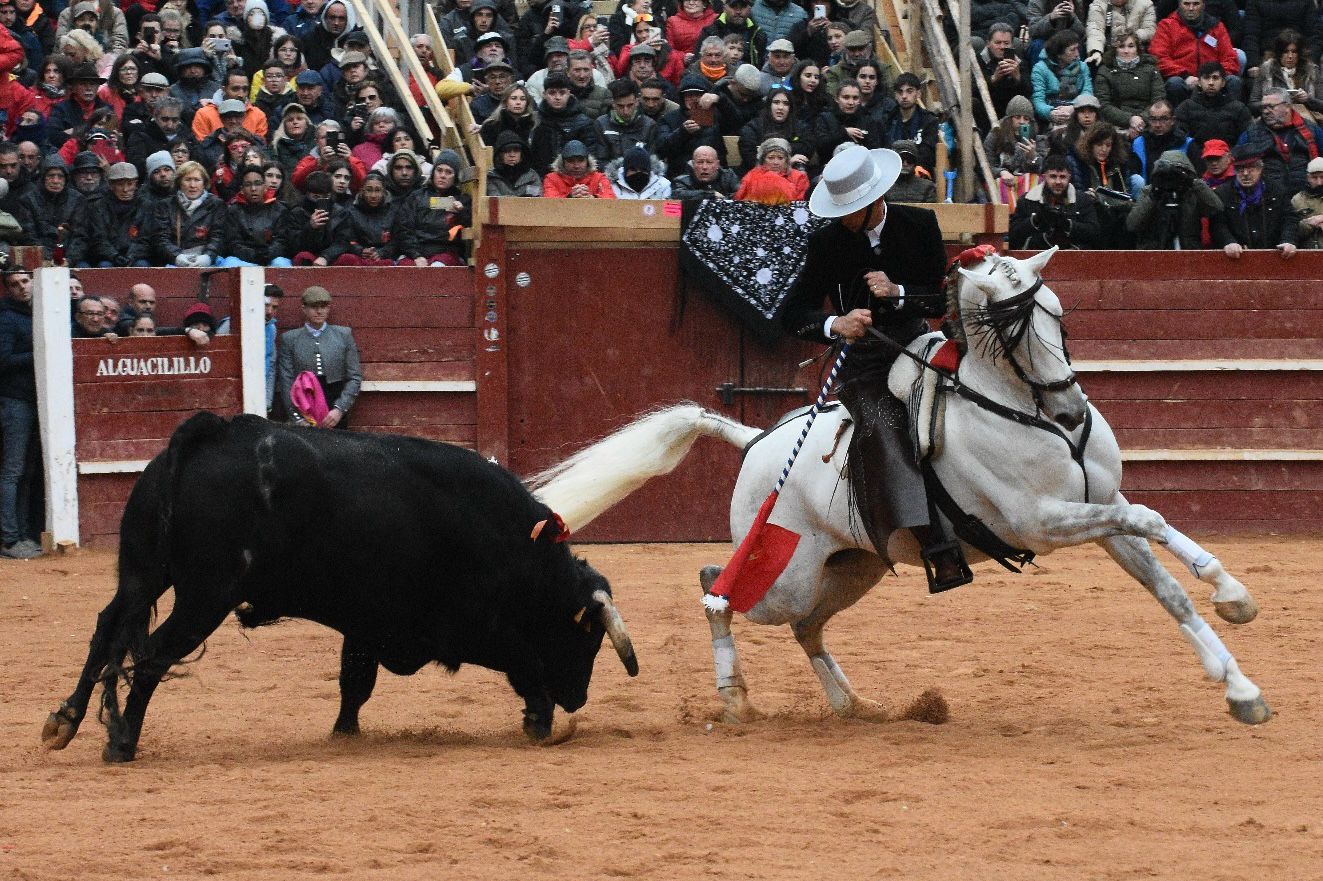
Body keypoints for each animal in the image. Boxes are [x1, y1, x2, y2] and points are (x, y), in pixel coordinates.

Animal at [42, 412, 640, 761]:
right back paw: (121, 741)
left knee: (107, 630)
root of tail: (207, 432)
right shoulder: (469, 626)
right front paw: (540, 720)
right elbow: (522, 660)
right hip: (204, 598)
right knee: (153, 655)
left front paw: (344, 732)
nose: (579, 698)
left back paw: (65, 721)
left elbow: (355, 681)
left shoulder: (366, 624)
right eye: (586, 639)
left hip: (142, 574)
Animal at [529, 244, 1270, 724]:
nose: (1070, 411)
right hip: (786, 566)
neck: (1021, 408)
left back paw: (851, 703)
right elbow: (1149, 517)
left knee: (804, 625)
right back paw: (734, 696)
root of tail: (757, 440)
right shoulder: (1039, 520)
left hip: (853, 566)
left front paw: (1238, 677)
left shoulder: (1098, 509)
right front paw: (1230, 593)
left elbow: (1165, 579)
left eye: (1058, 313)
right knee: (718, 588)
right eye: (1010, 327)